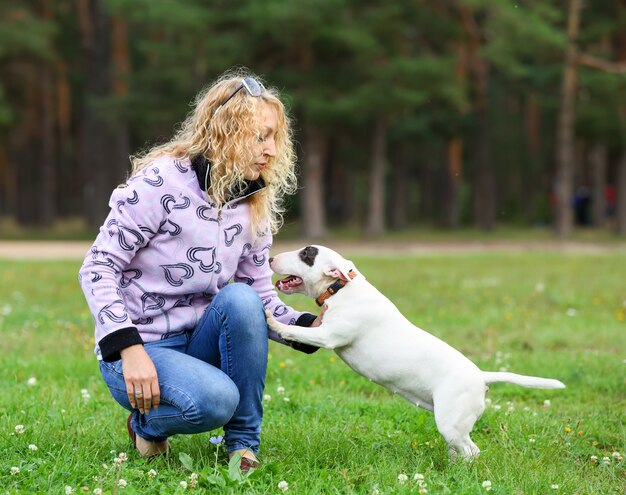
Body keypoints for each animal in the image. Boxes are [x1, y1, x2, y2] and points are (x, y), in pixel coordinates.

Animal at [266, 245, 564, 462]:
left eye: (307, 254)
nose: (269, 258)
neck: (341, 288)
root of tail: (481, 377)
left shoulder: (328, 336)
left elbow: (296, 331)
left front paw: (271, 320)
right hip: (454, 424)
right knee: (463, 449)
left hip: (451, 422)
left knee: (472, 451)